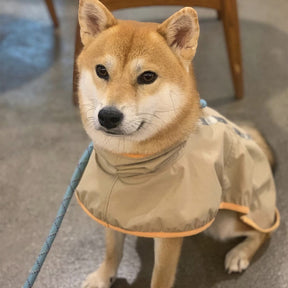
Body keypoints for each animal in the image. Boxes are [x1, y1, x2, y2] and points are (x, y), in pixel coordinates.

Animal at [76, 1, 280, 286]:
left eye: (147, 77)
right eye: (101, 71)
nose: (108, 116)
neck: (125, 165)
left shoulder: (168, 234)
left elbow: (160, 275)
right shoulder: (109, 208)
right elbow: (112, 250)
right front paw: (104, 276)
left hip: (226, 222)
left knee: (265, 231)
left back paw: (240, 254)